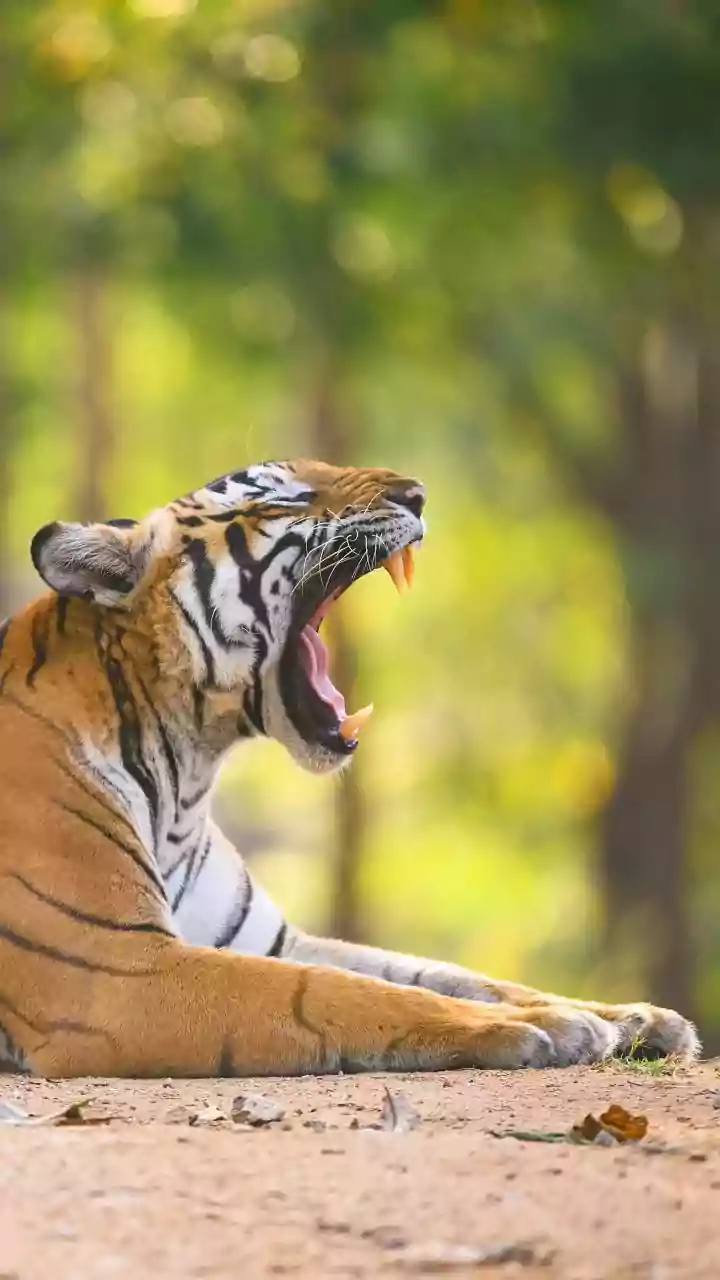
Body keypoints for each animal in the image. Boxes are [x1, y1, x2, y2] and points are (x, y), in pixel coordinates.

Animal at [0, 459, 698, 1077]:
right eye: (282, 497)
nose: (417, 493)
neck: (187, 773)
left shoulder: (264, 941)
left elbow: (442, 972)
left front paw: (630, 1018)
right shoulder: (115, 967)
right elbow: (332, 991)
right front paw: (546, 1027)